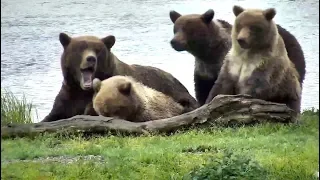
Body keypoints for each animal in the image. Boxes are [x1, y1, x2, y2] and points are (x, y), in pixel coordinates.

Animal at [41, 32, 199, 122]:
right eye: (80, 48)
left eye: (97, 50)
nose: (91, 58)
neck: (82, 91)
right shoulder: (68, 95)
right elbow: (53, 115)